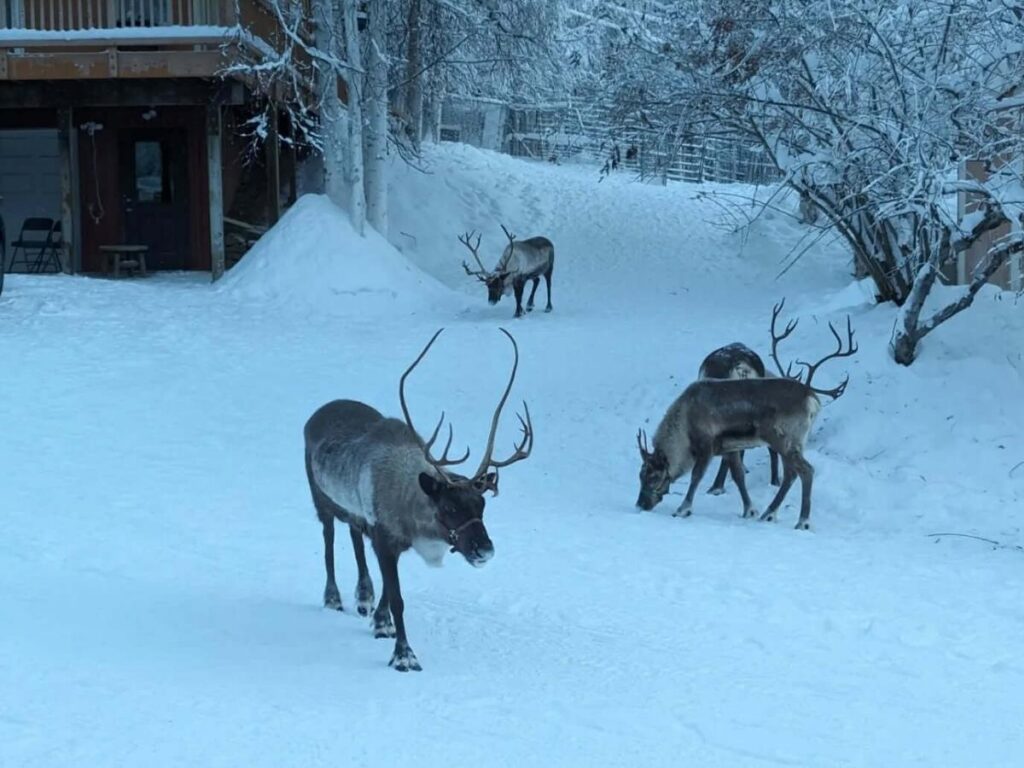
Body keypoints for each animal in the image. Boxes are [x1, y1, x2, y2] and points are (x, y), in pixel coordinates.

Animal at [303, 328, 533, 671]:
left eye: (482, 505)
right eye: (450, 506)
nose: (485, 550)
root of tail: (317, 413)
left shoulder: (389, 539)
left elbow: (388, 589)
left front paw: (380, 622)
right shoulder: (384, 537)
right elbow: (398, 598)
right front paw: (404, 655)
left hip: (353, 511)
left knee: (355, 537)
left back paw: (363, 597)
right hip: (320, 498)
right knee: (329, 539)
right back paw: (333, 598)